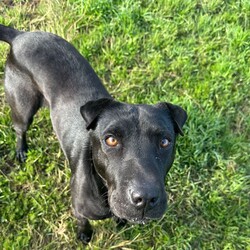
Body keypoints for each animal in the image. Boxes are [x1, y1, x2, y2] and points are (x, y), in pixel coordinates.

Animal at [0, 24, 187, 243]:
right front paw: (84, 234)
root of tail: (20, 36)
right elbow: (83, 221)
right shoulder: (78, 208)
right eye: (111, 140)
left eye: (165, 142)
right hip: (23, 107)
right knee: (20, 129)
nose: (146, 199)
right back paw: (21, 149)